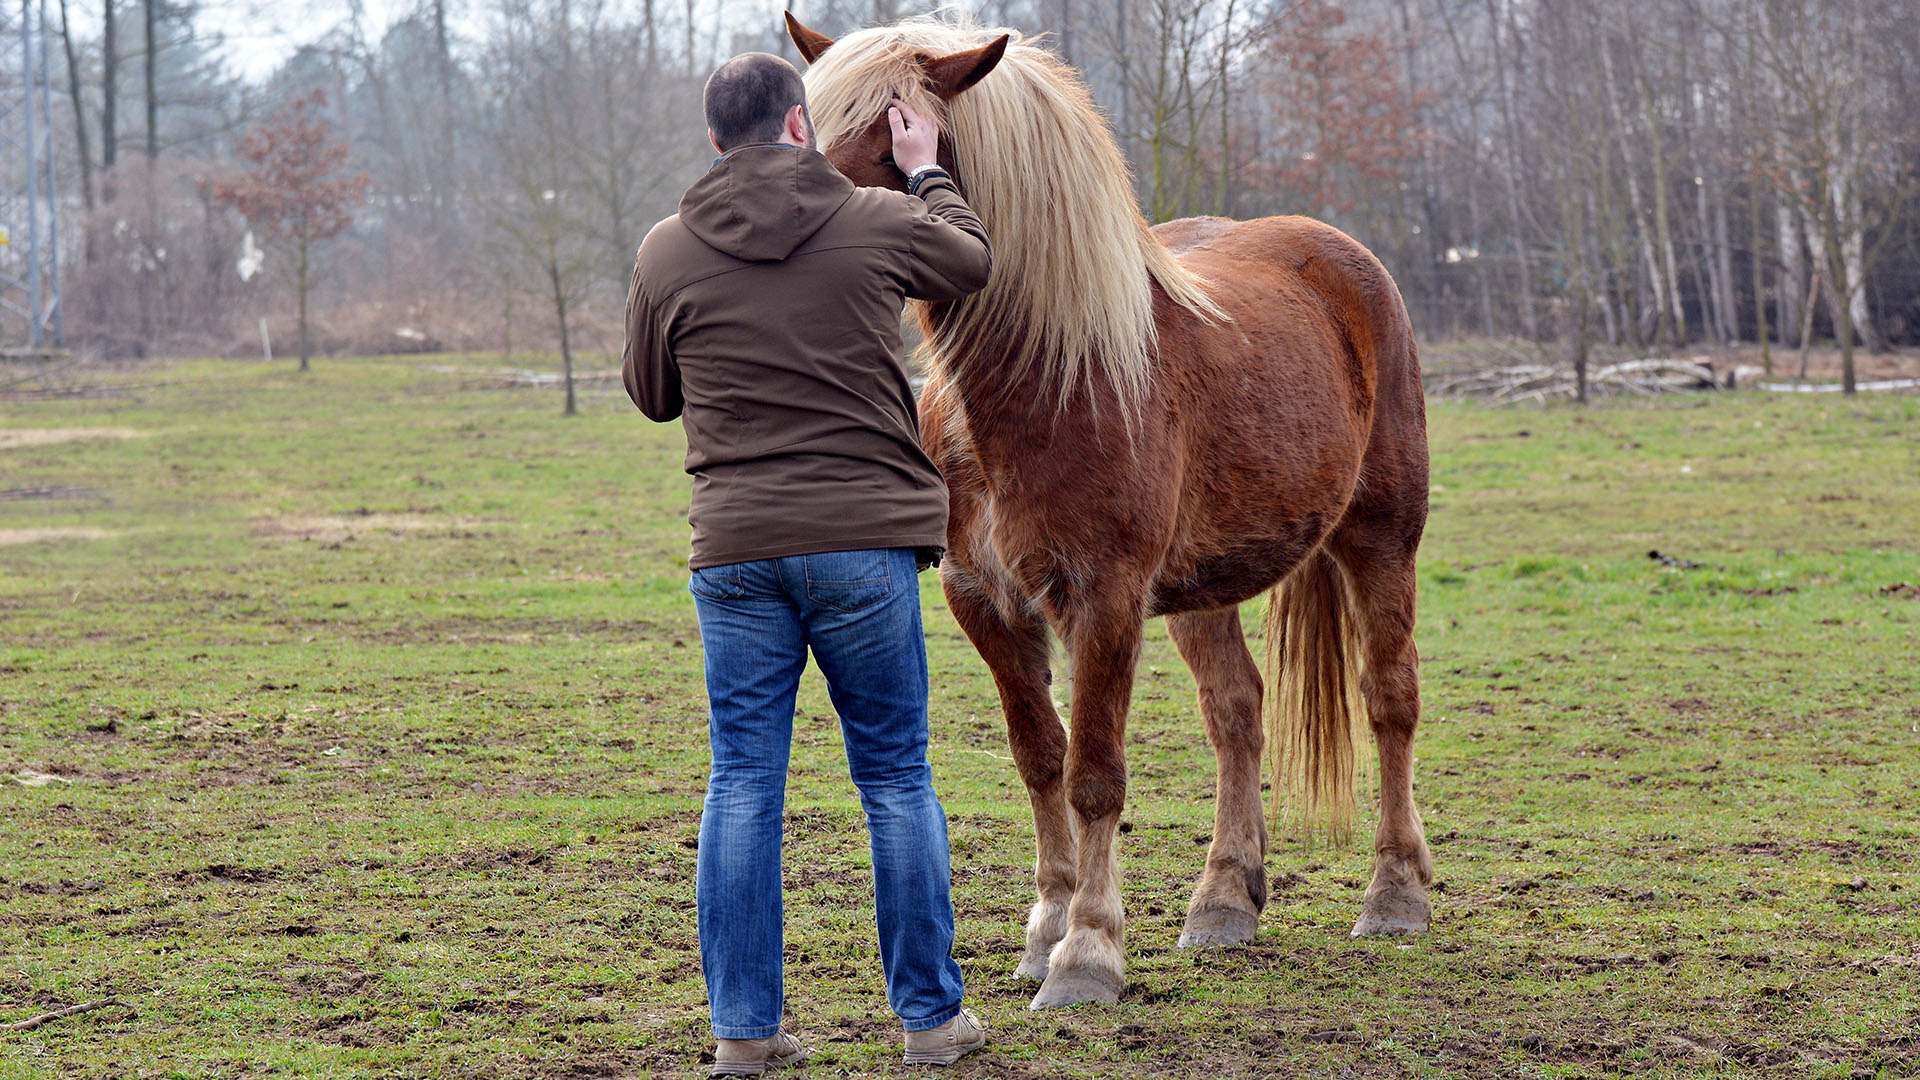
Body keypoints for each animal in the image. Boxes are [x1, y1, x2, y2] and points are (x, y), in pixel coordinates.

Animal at [787, 14, 1436, 1006]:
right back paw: (1223, 902)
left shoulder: (1105, 597)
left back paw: (1395, 894)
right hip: (1206, 584)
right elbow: (1040, 757)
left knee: (1388, 698)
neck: (1051, 375)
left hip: (1381, 540)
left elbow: (1094, 774)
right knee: (1236, 712)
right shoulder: (983, 600)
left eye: (887, 131)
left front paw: (1086, 953)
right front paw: (1045, 929)